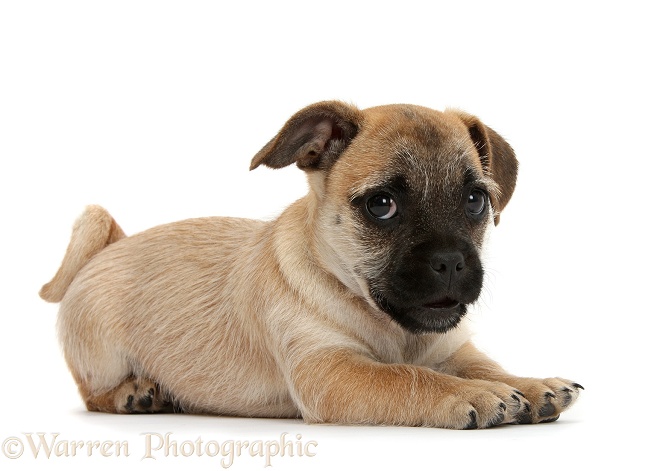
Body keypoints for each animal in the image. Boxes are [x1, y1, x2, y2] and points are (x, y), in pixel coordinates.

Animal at [39, 101, 580, 430]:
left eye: (475, 201)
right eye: (381, 205)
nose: (450, 261)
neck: (393, 329)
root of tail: (110, 246)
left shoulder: (454, 350)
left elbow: (487, 366)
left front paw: (532, 384)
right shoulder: (334, 371)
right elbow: (410, 378)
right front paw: (478, 395)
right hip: (103, 356)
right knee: (92, 393)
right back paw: (135, 394)